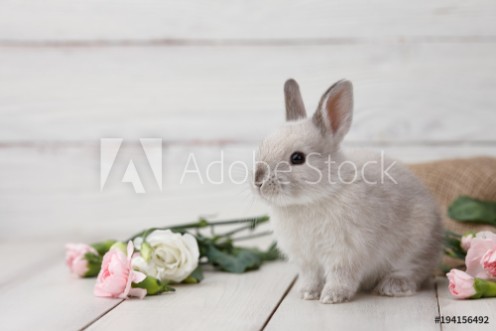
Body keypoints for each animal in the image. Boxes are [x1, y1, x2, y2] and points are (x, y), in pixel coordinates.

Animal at [252, 79, 442, 304]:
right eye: (263, 147)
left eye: (297, 158)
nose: (258, 181)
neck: (314, 198)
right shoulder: (307, 260)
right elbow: (311, 277)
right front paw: (307, 293)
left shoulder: (346, 253)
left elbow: (341, 276)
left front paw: (331, 297)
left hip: (413, 249)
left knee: (414, 271)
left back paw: (392, 287)